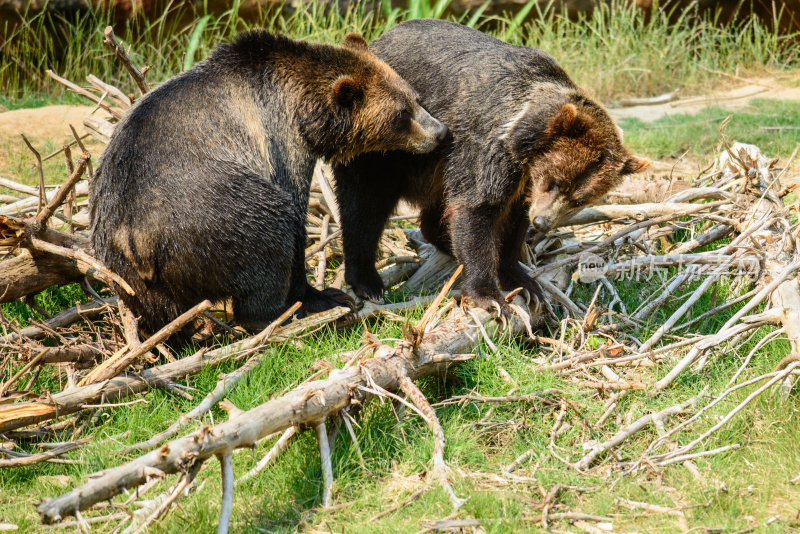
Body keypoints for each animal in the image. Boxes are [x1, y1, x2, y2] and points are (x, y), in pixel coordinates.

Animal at [92, 29, 450, 338]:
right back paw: (278, 313)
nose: (440, 132)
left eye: (416, 98)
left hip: (122, 261)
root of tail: (134, 236)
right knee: (267, 234)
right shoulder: (280, 141)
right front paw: (321, 295)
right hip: (210, 215)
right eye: (401, 114)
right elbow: (294, 214)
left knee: (153, 308)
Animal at [332, 19, 648, 314]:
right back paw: (367, 281)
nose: (542, 222)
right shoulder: (486, 145)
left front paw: (523, 281)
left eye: (578, 200)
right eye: (554, 181)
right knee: (365, 204)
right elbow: (477, 209)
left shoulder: (520, 180)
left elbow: (512, 221)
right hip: (384, 143)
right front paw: (490, 296)